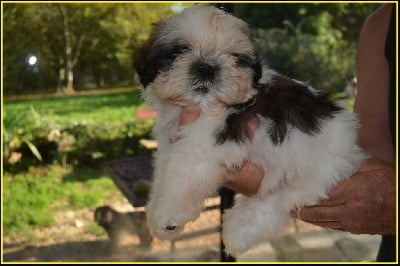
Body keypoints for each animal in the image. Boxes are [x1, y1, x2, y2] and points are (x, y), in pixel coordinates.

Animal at [134, 3, 366, 255]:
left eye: (234, 57)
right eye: (178, 50)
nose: (207, 67)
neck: (203, 105)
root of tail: (351, 145)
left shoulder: (203, 146)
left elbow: (181, 181)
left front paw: (167, 218)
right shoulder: (170, 145)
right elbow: (164, 177)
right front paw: (155, 214)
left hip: (316, 174)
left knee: (278, 202)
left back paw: (236, 232)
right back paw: (238, 233)